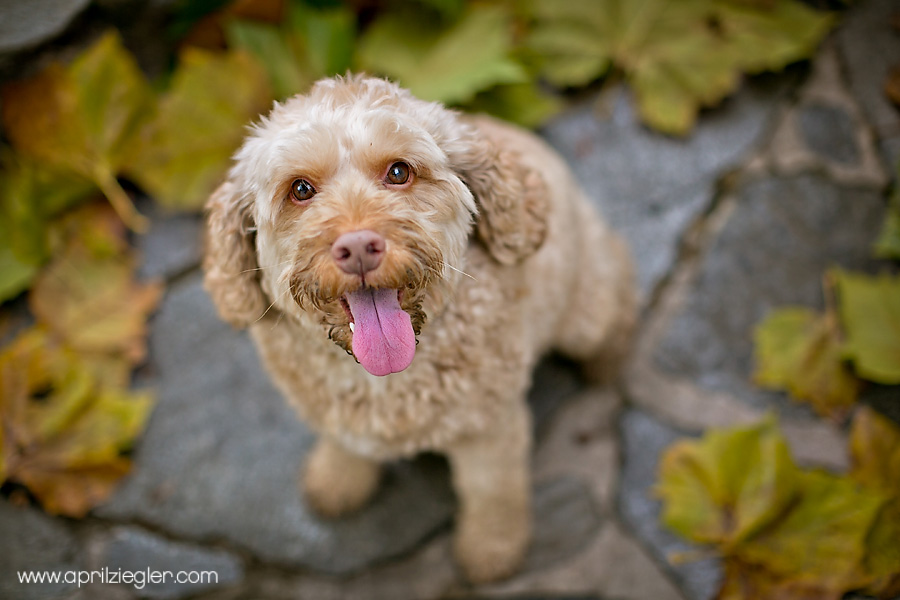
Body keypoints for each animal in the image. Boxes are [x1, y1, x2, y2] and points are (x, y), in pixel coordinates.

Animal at [204, 74, 640, 580]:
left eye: (399, 172)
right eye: (299, 189)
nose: (358, 247)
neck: (385, 377)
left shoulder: (490, 428)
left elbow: (493, 493)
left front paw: (492, 550)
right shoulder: (335, 416)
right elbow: (343, 442)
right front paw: (336, 479)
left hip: (586, 308)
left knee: (619, 295)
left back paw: (608, 365)